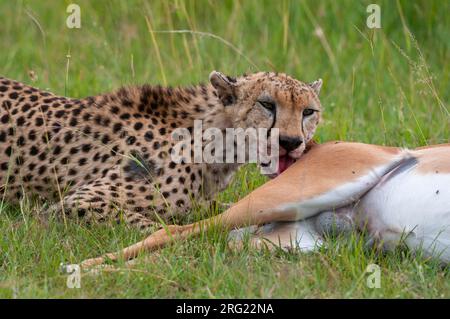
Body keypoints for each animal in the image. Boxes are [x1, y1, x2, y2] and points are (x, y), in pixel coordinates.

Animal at [0, 71, 324, 232]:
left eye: (308, 112)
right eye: (267, 104)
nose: (291, 142)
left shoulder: (202, 203)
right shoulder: (74, 203)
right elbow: (155, 225)